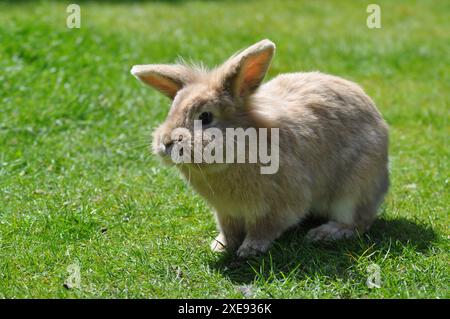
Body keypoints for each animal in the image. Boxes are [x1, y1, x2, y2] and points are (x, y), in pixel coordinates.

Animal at [131, 40, 390, 258]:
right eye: (171, 111)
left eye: (205, 117)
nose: (165, 143)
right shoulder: (225, 211)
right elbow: (228, 231)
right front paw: (219, 246)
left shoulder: (279, 206)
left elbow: (263, 229)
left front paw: (250, 250)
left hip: (353, 191)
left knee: (358, 222)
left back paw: (324, 233)